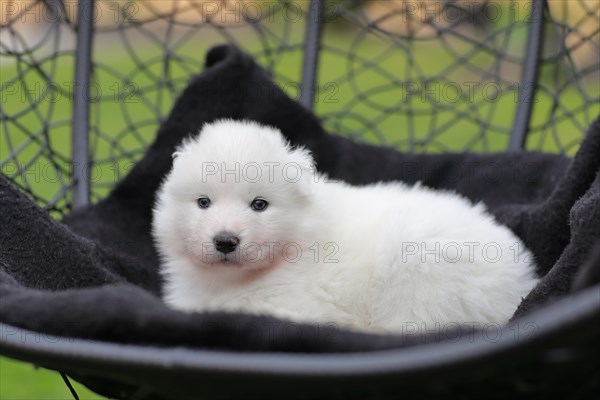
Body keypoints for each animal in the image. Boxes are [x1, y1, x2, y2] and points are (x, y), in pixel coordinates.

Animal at [152, 119, 536, 334]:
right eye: (203, 202)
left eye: (259, 204)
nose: (225, 240)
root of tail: (519, 278)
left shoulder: (300, 305)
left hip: (419, 268)